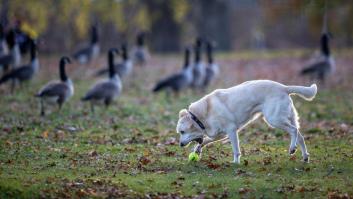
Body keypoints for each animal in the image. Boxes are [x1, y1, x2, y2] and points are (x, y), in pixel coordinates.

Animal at [176, 79, 316, 163]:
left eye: (182, 132)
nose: (180, 145)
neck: (202, 115)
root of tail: (284, 87)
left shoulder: (231, 130)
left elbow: (235, 150)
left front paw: (236, 163)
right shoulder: (219, 134)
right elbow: (205, 140)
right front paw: (197, 150)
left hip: (274, 119)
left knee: (294, 130)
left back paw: (292, 148)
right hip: (288, 118)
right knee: (300, 136)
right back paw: (305, 157)